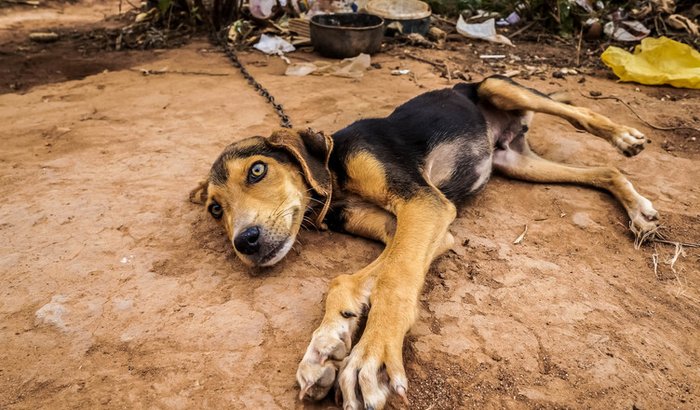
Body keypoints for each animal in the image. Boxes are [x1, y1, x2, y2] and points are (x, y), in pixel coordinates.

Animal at [189, 75, 660, 408]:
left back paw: (624, 138)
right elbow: (352, 279)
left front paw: (371, 357)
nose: (245, 242)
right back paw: (638, 208)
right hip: (516, 162)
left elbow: (395, 279)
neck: (334, 172)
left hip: (498, 87)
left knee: (578, 113)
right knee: (604, 172)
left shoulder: (425, 206)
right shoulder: (413, 227)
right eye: (215, 210)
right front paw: (328, 345)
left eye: (257, 170)